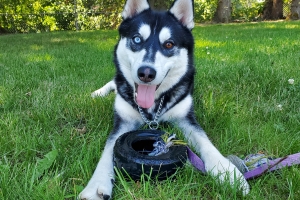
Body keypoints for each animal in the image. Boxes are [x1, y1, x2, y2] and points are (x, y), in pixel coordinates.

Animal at [78, 0, 250, 200]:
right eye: (137, 39)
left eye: (168, 44)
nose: (146, 73)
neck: (153, 107)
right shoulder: (123, 121)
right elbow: (109, 149)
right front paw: (97, 184)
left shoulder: (185, 118)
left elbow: (205, 142)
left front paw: (227, 171)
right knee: (113, 82)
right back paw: (98, 93)